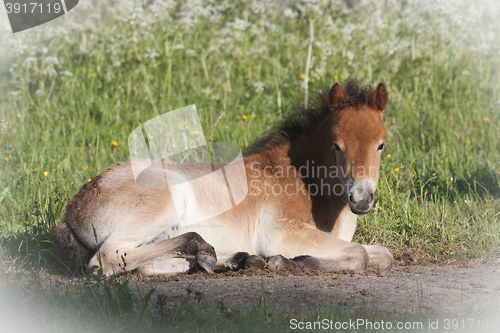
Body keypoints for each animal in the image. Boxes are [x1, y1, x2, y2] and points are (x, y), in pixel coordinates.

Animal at [52, 80, 392, 274]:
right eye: (336, 145)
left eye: (381, 144)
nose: (361, 199)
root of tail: (72, 210)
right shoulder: (282, 233)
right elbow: (359, 255)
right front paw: (288, 262)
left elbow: (382, 254)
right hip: (166, 201)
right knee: (107, 260)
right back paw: (208, 250)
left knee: (141, 266)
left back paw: (226, 259)